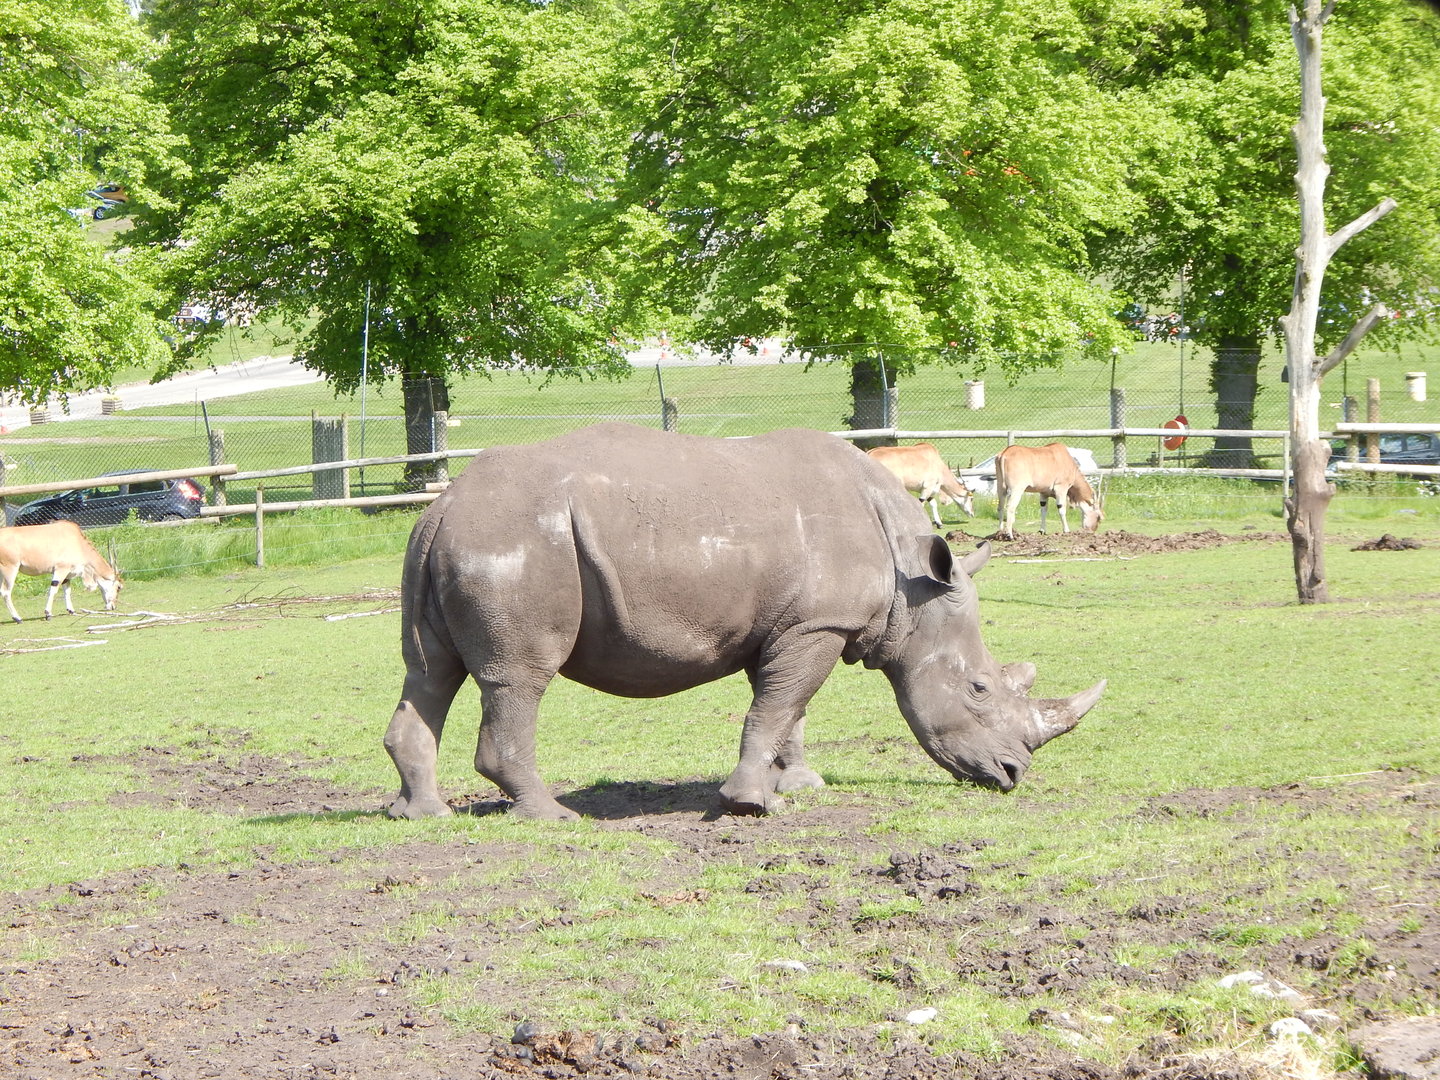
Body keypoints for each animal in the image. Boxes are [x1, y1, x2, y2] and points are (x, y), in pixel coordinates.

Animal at [384, 423, 1106, 821]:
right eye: (978, 689)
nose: (1011, 776)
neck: (911, 583)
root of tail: (440, 507)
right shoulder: (817, 625)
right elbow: (778, 705)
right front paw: (750, 804)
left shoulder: (799, 624)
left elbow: (790, 708)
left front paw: (799, 784)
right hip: (515, 540)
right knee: (520, 677)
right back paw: (551, 816)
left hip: (463, 541)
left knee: (430, 672)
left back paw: (424, 814)